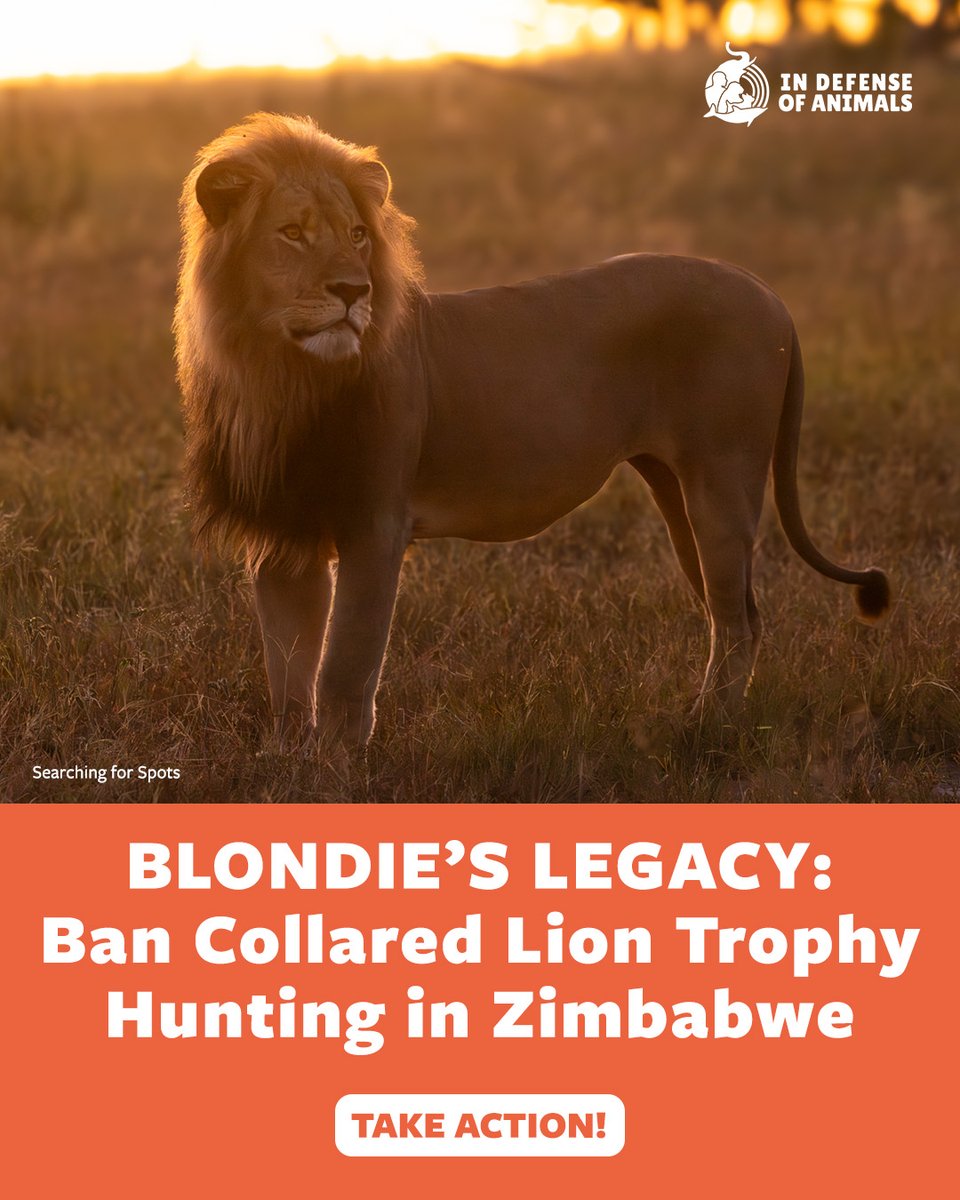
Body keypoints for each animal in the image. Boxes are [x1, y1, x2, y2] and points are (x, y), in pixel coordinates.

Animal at [174, 112, 889, 749]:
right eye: (292, 233)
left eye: (356, 235)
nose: (355, 291)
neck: (279, 375)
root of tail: (768, 292)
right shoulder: (282, 539)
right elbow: (287, 677)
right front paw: (288, 767)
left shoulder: (374, 526)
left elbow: (342, 672)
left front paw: (337, 774)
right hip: (678, 491)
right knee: (737, 613)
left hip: (723, 481)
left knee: (738, 621)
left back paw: (702, 732)